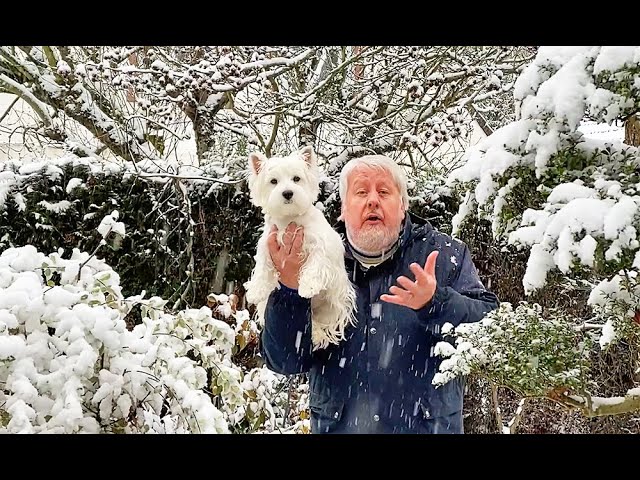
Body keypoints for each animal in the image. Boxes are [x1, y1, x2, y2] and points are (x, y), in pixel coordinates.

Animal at [242, 144, 358, 350]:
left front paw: (308, 287)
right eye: (273, 181)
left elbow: (316, 264)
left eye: (296, 178)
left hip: (334, 302)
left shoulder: (321, 245)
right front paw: (256, 290)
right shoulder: (267, 243)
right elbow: (263, 266)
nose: (288, 193)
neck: (290, 218)